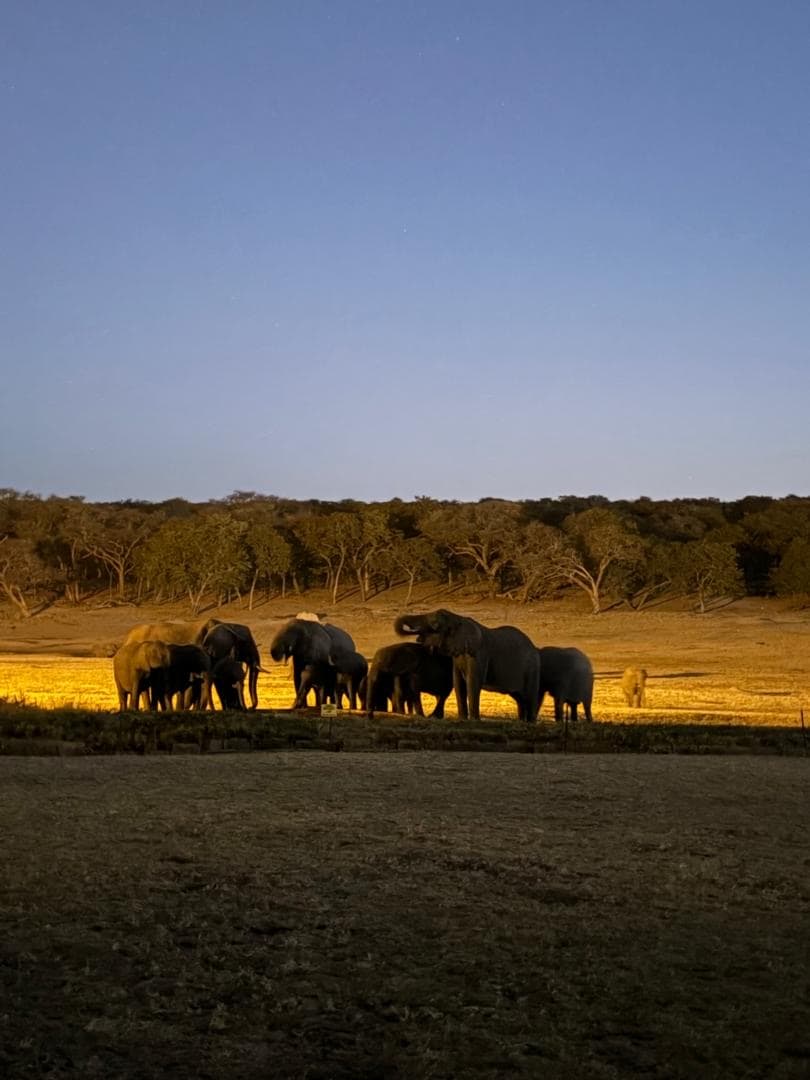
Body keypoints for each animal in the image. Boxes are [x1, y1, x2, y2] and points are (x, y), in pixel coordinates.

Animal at [394, 609, 541, 723]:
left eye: (435, 625)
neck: (459, 618)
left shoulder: (478, 654)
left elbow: (472, 682)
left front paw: (474, 720)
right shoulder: (458, 655)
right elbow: (458, 682)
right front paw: (462, 719)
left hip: (532, 669)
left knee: (529, 696)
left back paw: (530, 723)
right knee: (519, 698)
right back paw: (521, 722)